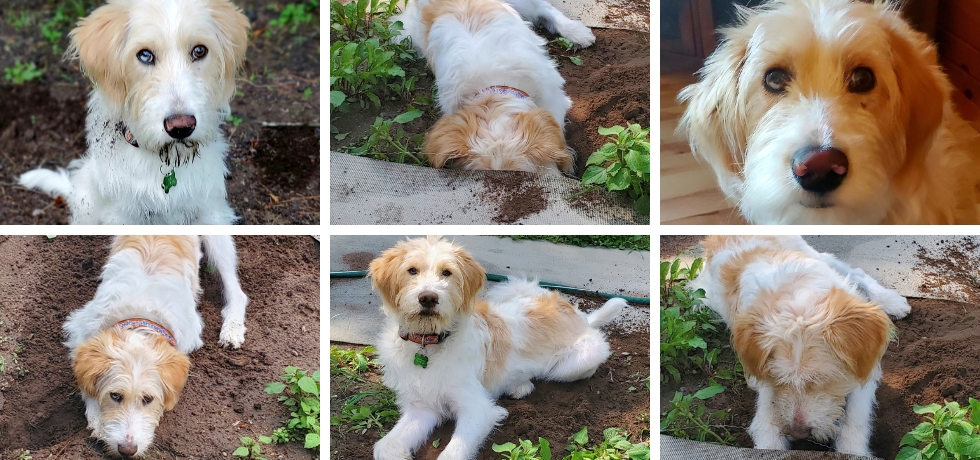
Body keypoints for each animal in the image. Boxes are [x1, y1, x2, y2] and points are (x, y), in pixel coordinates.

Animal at [18, 0, 249, 224]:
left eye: (199, 51)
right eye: (145, 55)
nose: (181, 127)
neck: (164, 162)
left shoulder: (211, 208)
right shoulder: (121, 216)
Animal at [64, 235, 249, 458]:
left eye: (148, 399)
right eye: (115, 395)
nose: (127, 450)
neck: (140, 312)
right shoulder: (79, 330)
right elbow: (85, 381)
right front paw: (97, 420)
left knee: (236, 290)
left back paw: (232, 329)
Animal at [368, 235, 628, 458]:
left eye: (447, 272)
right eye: (412, 270)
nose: (428, 298)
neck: (427, 344)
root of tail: (582, 317)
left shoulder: (478, 409)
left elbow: (453, 453)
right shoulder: (421, 407)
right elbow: (384, 446)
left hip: (580, 359)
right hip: (509, 288)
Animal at [688, 237, 912, 456]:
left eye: (824, 380)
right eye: (778, 379)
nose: (799, 433)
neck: (798, 292)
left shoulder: (863, 371)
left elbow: (855, 419)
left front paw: (852, 449)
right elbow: (766, 429)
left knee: (855, 271)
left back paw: (892, 301)